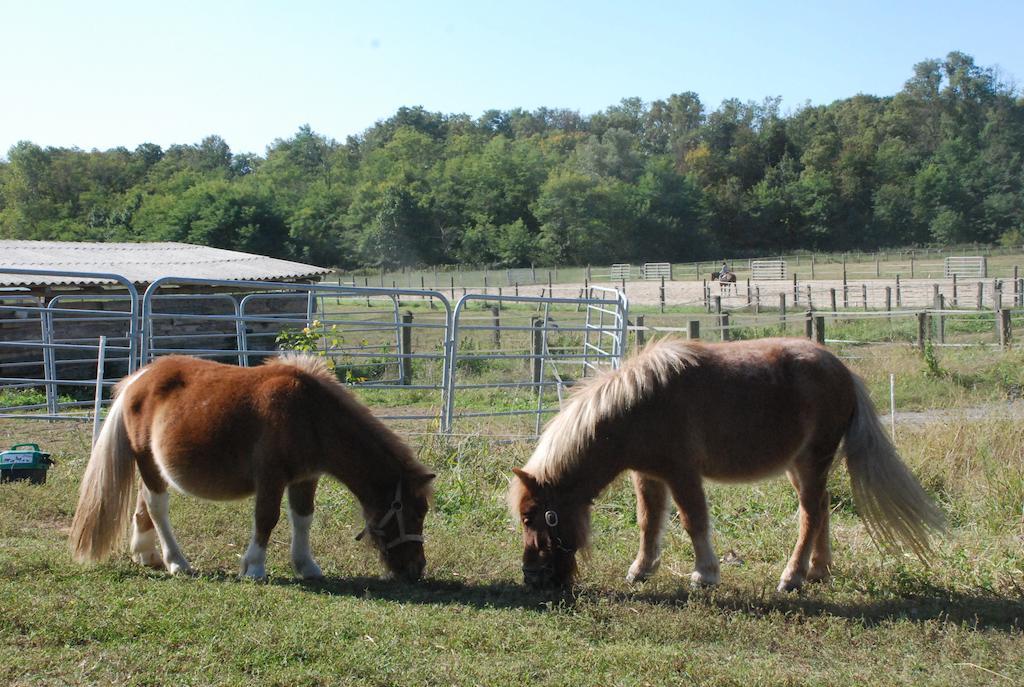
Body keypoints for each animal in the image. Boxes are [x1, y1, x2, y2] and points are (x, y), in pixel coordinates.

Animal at [68, 352, 436, 581]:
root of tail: (138, 379)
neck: (311, 413)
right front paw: (254, 567)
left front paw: (306, 566)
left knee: (143, 504)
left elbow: (303, 519)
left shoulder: (306, 478)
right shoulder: (271, 477)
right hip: (147, 461)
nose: (416, 569)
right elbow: (267, 518)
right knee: (158, 507)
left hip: (154, 467)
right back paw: (177, 562)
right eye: (413, 513)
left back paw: (146, 555)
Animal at [509, 337, 942, 589]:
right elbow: (649, 523)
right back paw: (818, 570)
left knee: (811, 515)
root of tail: (843, 371)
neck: (639, 405)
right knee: (822, 511)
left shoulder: (682, 474)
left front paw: (705, 574)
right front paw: (641, 569)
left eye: (531, 517)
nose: (530, 576)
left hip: (812, 463)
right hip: (799, 468)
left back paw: (793, 576)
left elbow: (693, 522)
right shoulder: (647, 476)